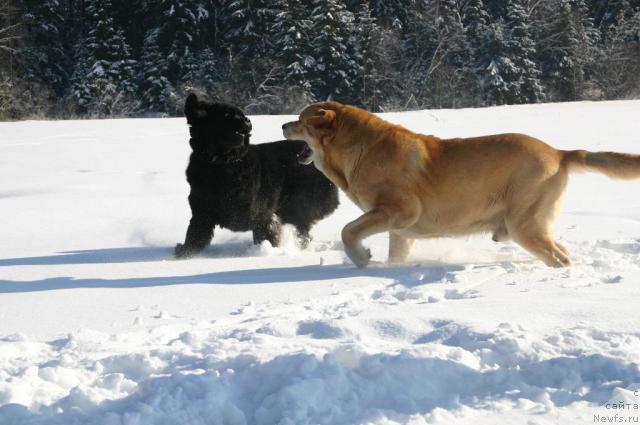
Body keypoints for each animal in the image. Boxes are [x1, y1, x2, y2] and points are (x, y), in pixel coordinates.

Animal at [172, 93, 338, 258]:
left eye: (240, 114)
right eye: (227, 115)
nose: (247, 120)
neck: (223, 164)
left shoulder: (261, 213)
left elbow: (265, 231)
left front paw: (265, 251)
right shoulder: (202, 212)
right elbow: (194, 234)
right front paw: (185, 253)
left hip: (297, 203)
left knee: (303, 228)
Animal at [282, 101, 640, 266]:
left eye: (300, 121)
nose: (283, 124)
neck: (357, 150)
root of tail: (559, 152)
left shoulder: (400, 211)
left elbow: (348, 231)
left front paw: (360, 258)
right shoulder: (400, 230)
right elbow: (394, 252)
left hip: (524, 224)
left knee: (559, 259)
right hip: (532, 226)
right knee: (563, 253)